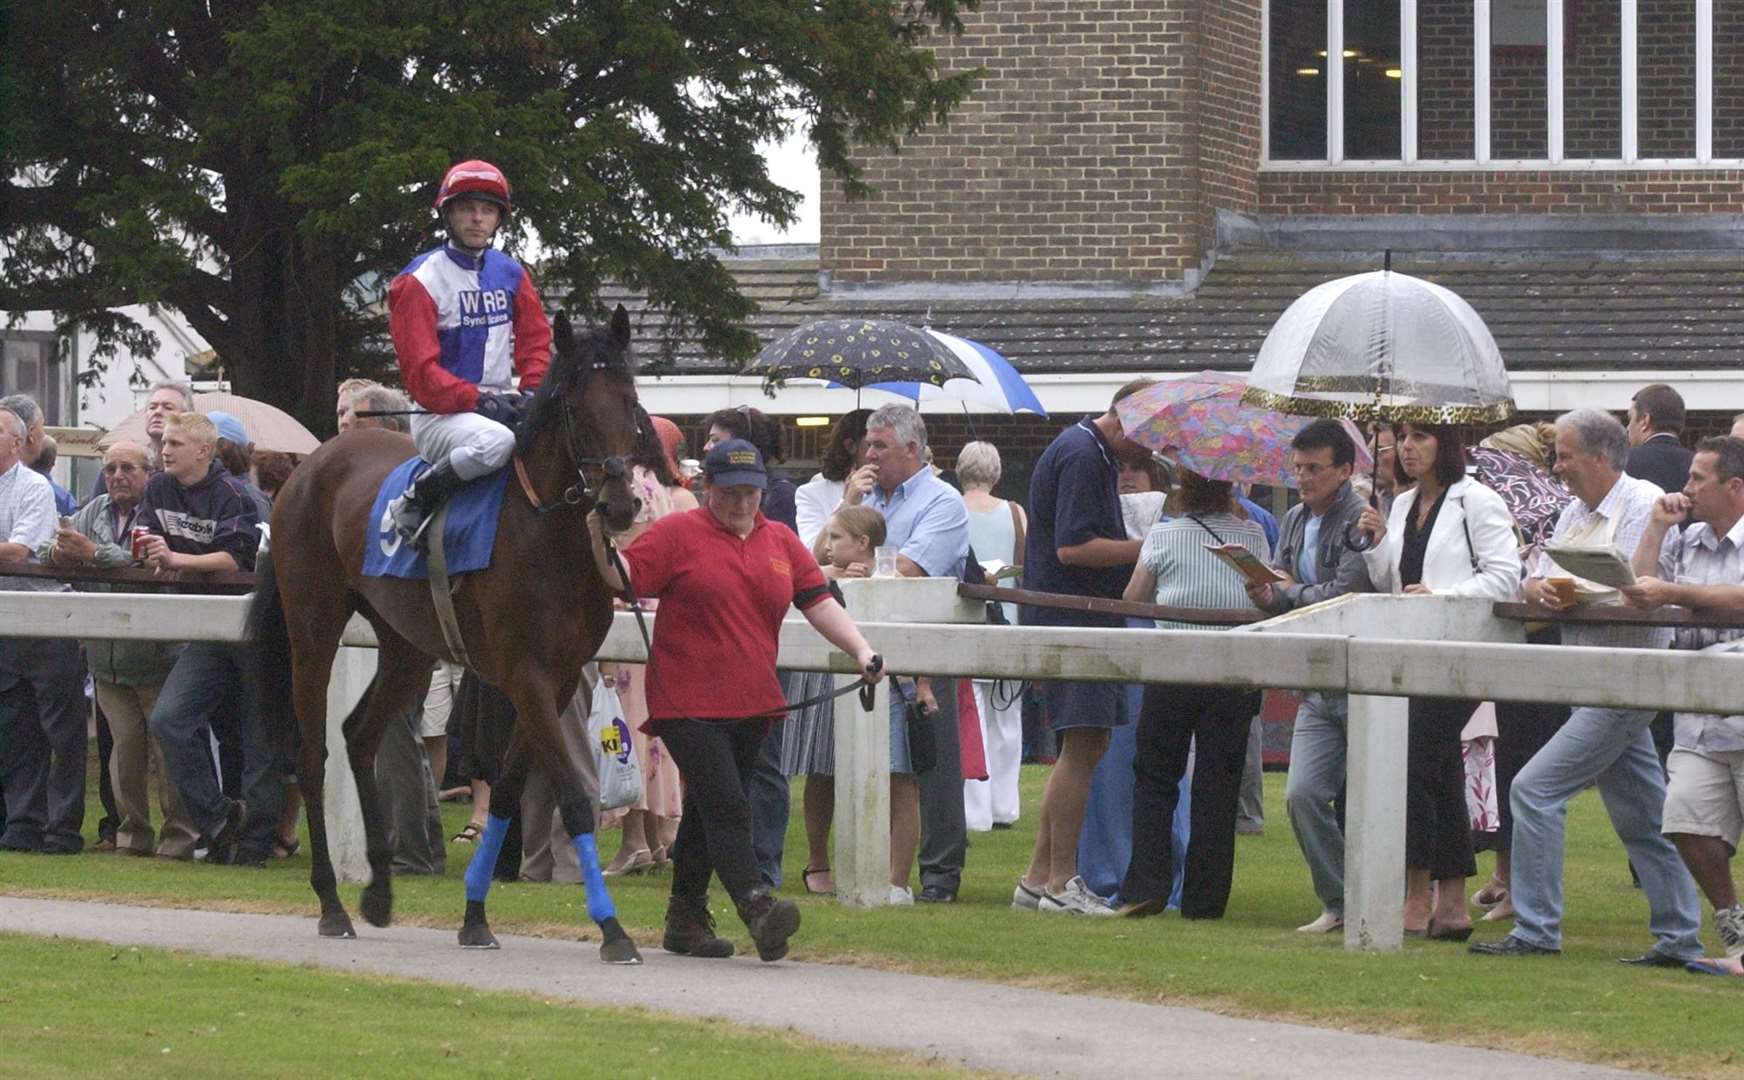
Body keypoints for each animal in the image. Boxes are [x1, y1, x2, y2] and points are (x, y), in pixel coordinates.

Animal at [251, 301, 648, 963]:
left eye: (632, 401)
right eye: (575, 406)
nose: (620, 506)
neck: (546, 535)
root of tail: (308, 465)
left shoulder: (560, 678)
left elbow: (508, 794)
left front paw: (474, 915)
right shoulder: (526, 675)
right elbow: (571, 798)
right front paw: (613, 929)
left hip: (407, 646)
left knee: (360, 735)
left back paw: (379, 891)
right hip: (313, 629)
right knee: (314, 754)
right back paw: (333, 903)